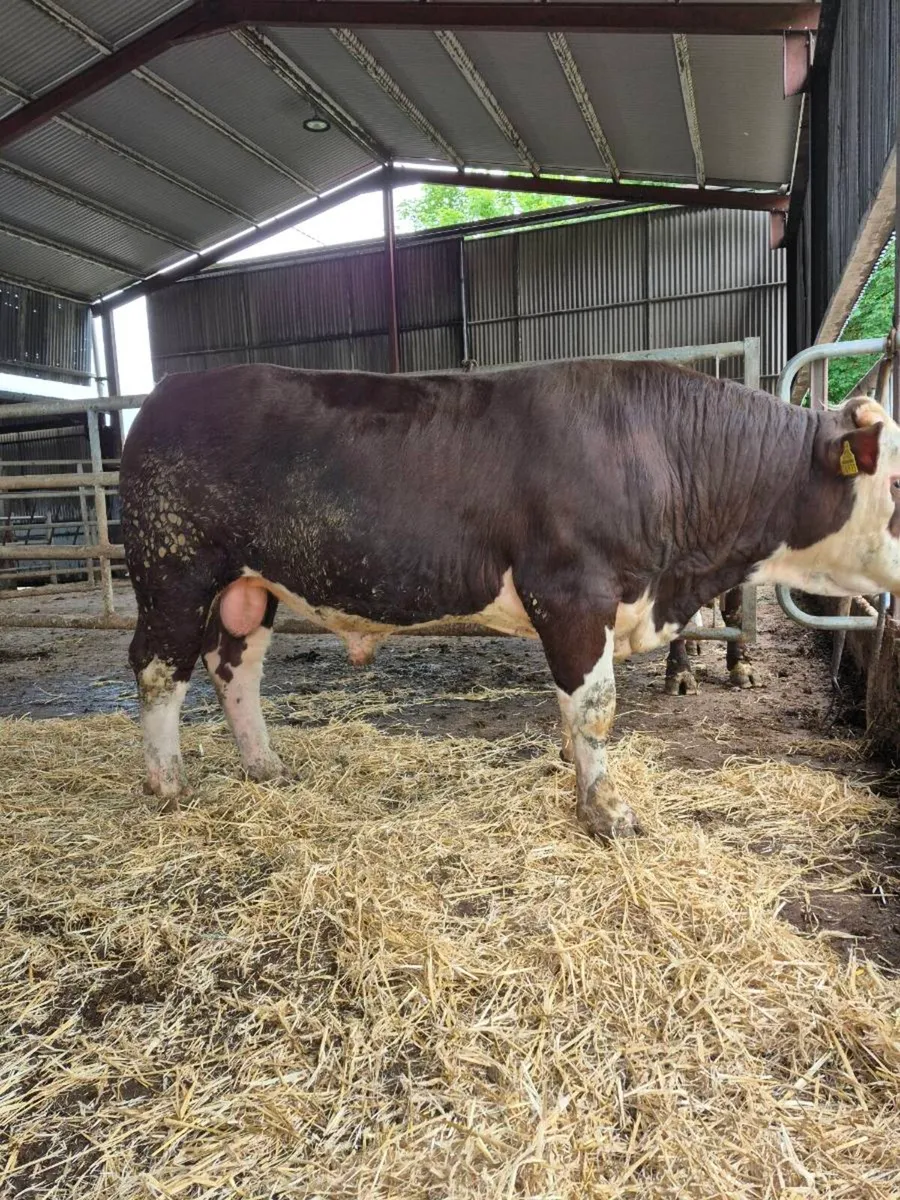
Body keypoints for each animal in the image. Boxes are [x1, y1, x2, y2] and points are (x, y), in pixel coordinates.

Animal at [119, 360, 900, 840]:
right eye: (895, 482)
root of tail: (169, 391)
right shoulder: (571, 590)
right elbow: (595, 708)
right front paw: (607, 811)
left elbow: (570, 708)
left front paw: (576, 779)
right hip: (173, 571)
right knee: (159, 669)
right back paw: (168, 785)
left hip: (249, 587)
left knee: (235, 666)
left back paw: (266, 767)